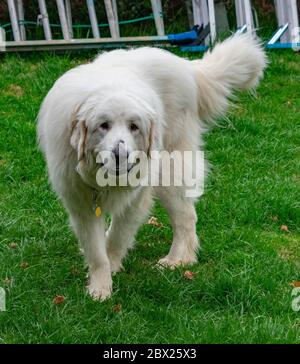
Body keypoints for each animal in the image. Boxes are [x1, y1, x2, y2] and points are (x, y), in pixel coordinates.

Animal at [38, 34, 268, 302]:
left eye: (133, 126)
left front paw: (111, 267)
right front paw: (100, 288)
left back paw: (177, 260)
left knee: (185, 217)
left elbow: (117, 237)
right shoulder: (81, 204)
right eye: (103, 125)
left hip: (170, 173)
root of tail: (187, 68)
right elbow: (96, 252)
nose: (121, 155)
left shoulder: (136, 199)